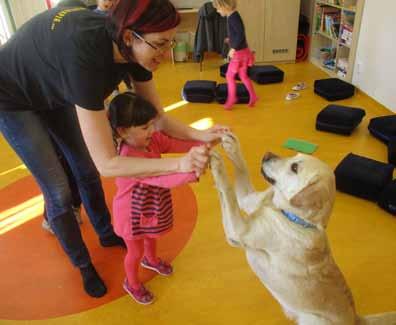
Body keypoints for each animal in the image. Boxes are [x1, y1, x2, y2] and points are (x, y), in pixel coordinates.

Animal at [209, 132, 394, 324]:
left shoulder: (238, 230)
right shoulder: (247, 199)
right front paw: (231, 145)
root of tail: (357, 319)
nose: (267, 154)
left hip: (312, 319)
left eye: (294, 167)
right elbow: (242, 169)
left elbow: (228, 191)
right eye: (294, 156)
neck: (293, 217)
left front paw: (218, 166)